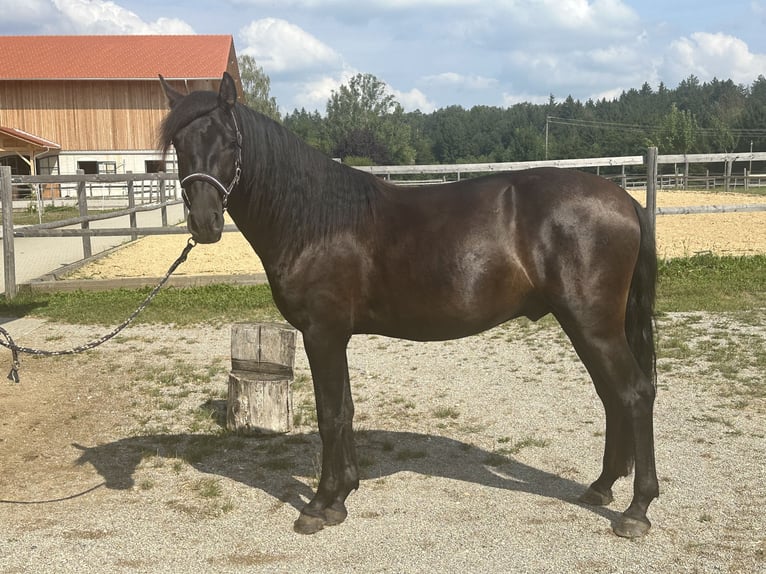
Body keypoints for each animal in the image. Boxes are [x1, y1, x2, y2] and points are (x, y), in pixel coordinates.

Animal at [159, 72, 659, 539]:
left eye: (229, 142)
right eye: (179, 144)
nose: (204, 222)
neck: (314, 221)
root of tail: (625, 200)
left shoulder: (322, 334)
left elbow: (330, 414)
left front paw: (319, 505)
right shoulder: (334, 337)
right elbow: (345, 410)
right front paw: (343, 495)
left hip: (592, 325)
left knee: (635, 393)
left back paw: (636, 510)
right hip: (588, 326)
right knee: (613, 396)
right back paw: (601, 487)